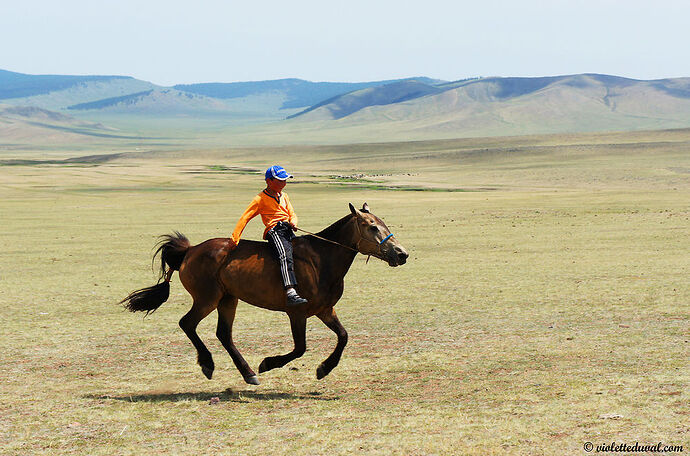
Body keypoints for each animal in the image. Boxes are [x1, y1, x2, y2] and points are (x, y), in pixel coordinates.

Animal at [122, 203, 408, 384]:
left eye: (383, 224)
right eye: (372, 227)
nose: (402, 253)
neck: (322, 259)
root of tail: (190, 250)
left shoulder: (325, 310)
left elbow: (344, 336)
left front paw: (323, 369)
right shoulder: (297, 312)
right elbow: (300, 348)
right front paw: (268, 363)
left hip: (228, 299)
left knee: (223, 334)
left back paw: (248, 373)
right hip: (207, 299)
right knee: (187, 323)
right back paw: (209, 364)